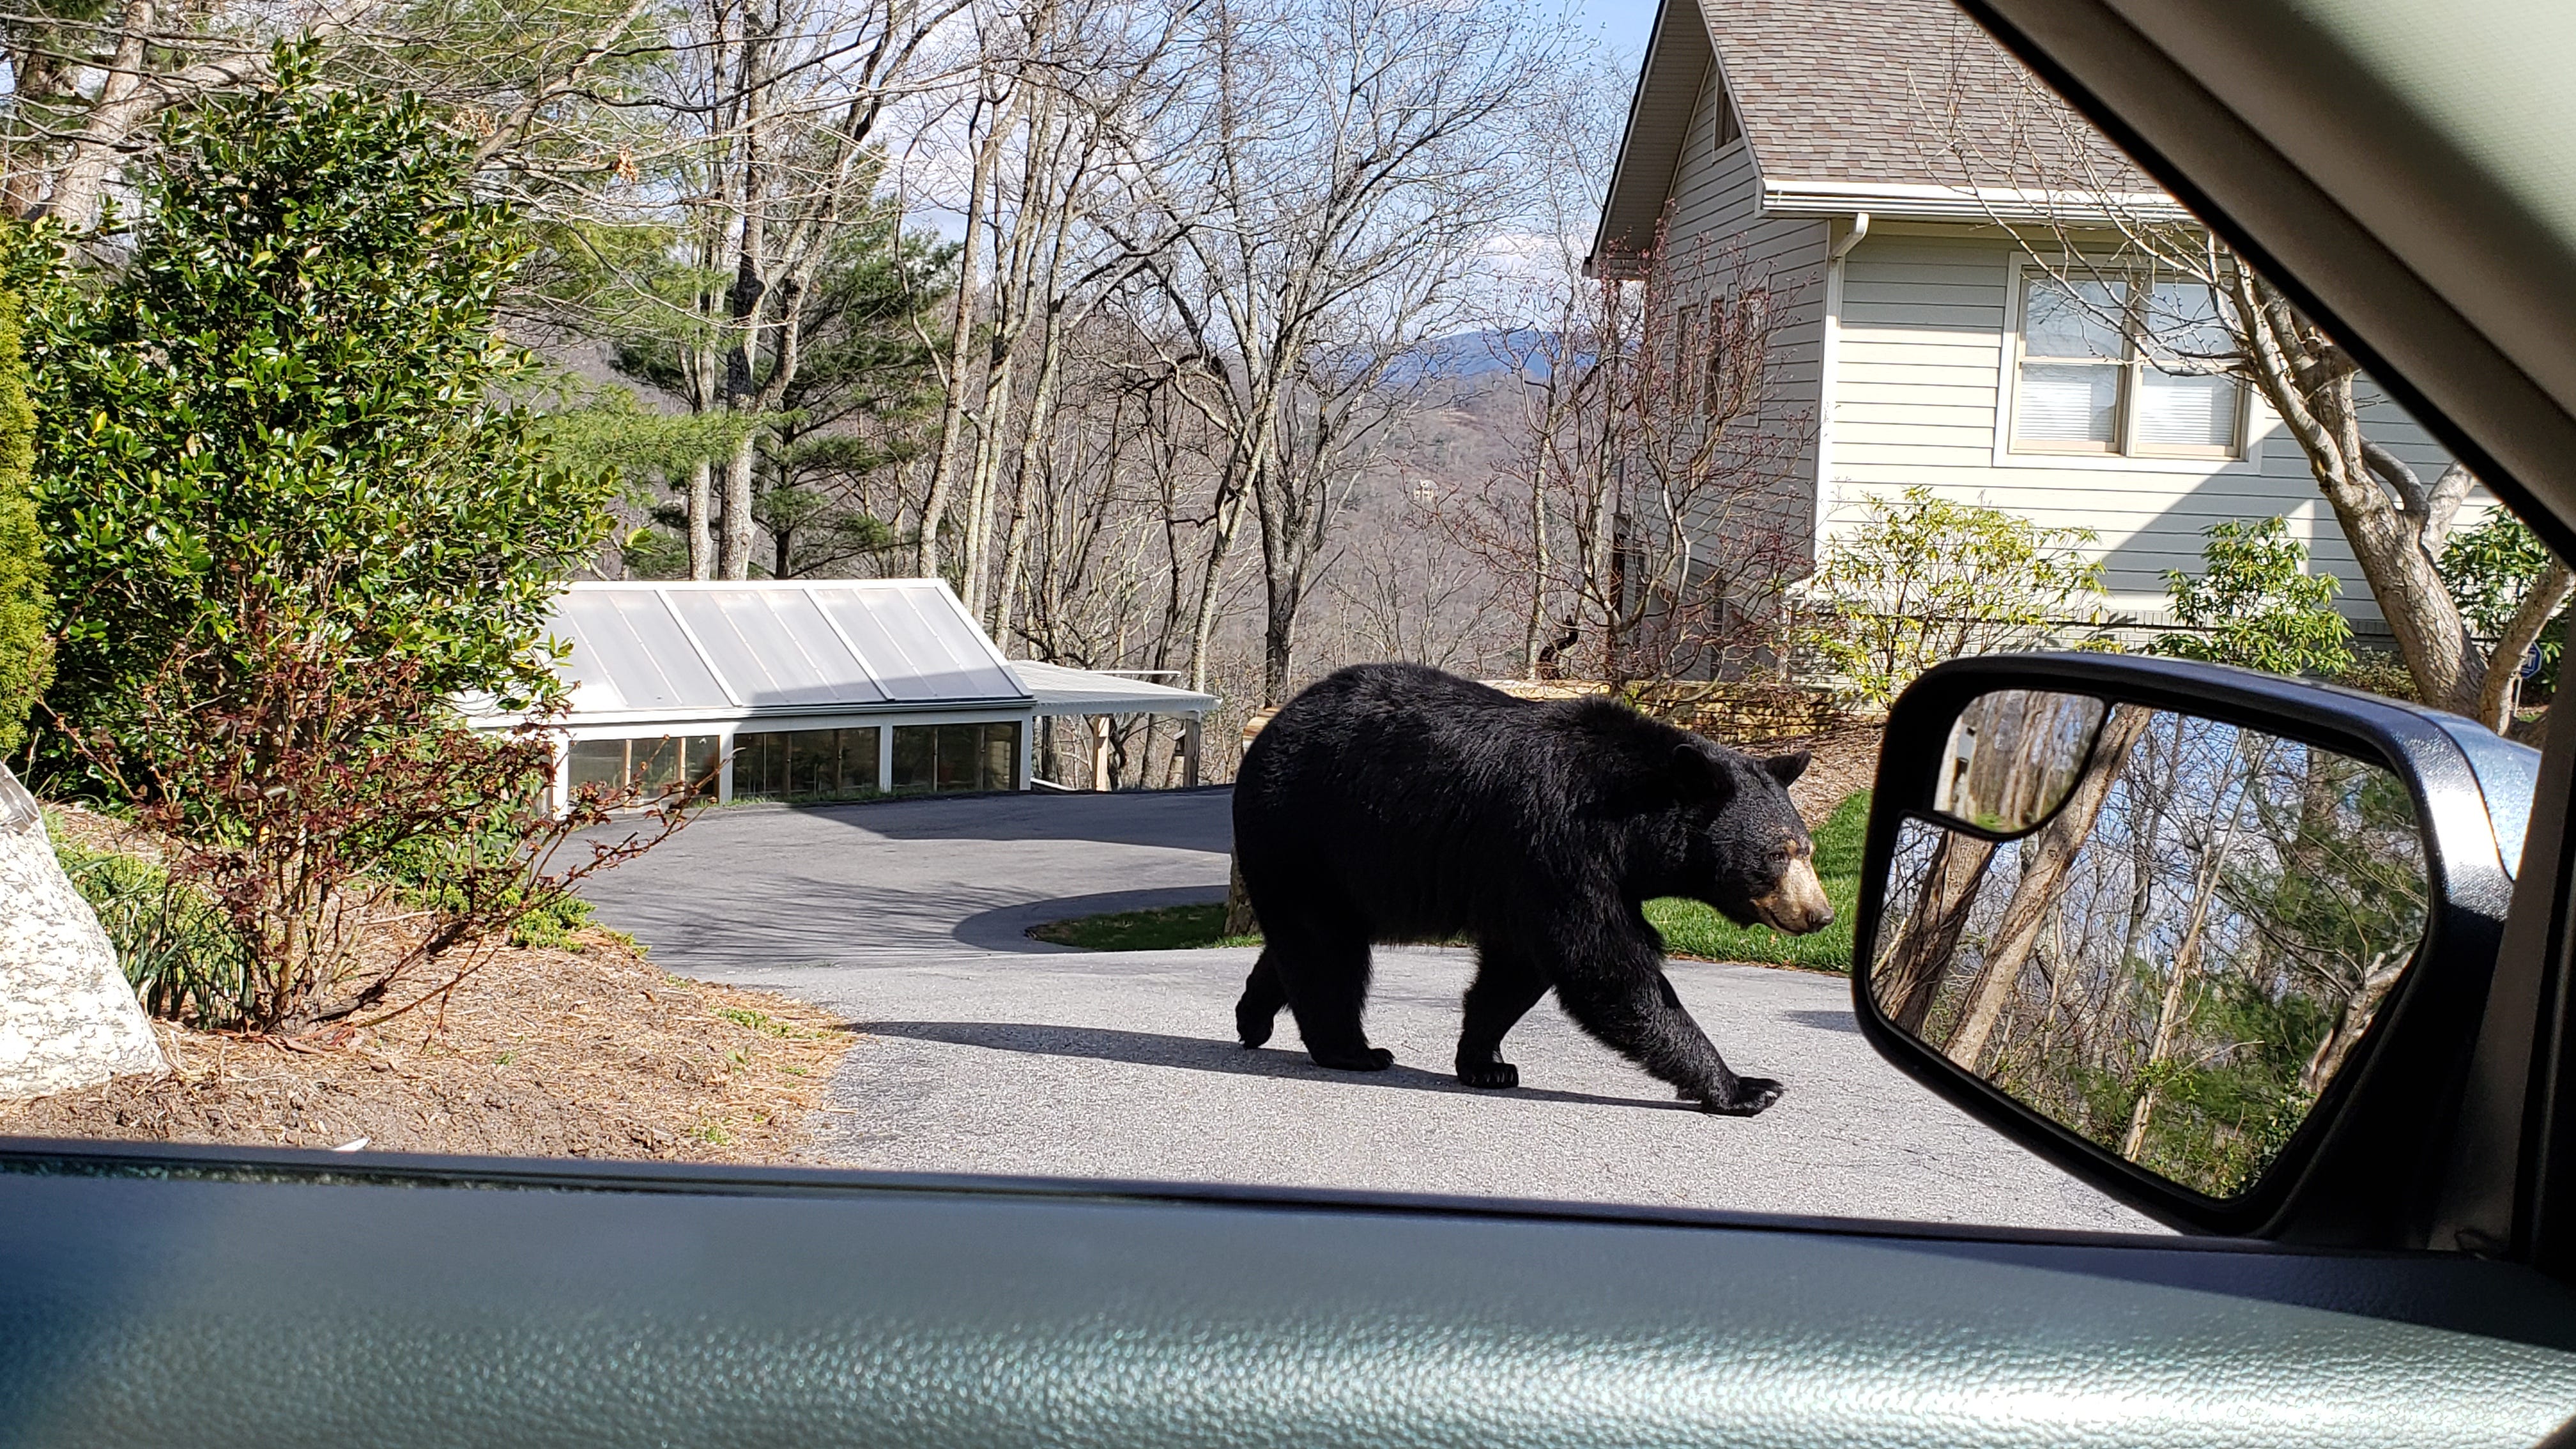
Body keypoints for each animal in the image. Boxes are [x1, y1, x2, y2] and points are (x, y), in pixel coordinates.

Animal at [1231, 660, 1823, 1108]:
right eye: (1776, 853)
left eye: (1807, 848)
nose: (1820, 915)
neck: (1630, 821)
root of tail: (1270, 725)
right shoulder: (1558, 848)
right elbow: (1607, 967)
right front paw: (1746, 1087)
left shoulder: (1538, 876)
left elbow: (1516, 969)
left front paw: (1486, 1062)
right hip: (1304, 830)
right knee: (1325, 948)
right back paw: (1353, 1050)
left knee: (1306, 941)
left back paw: (1253, 1018)